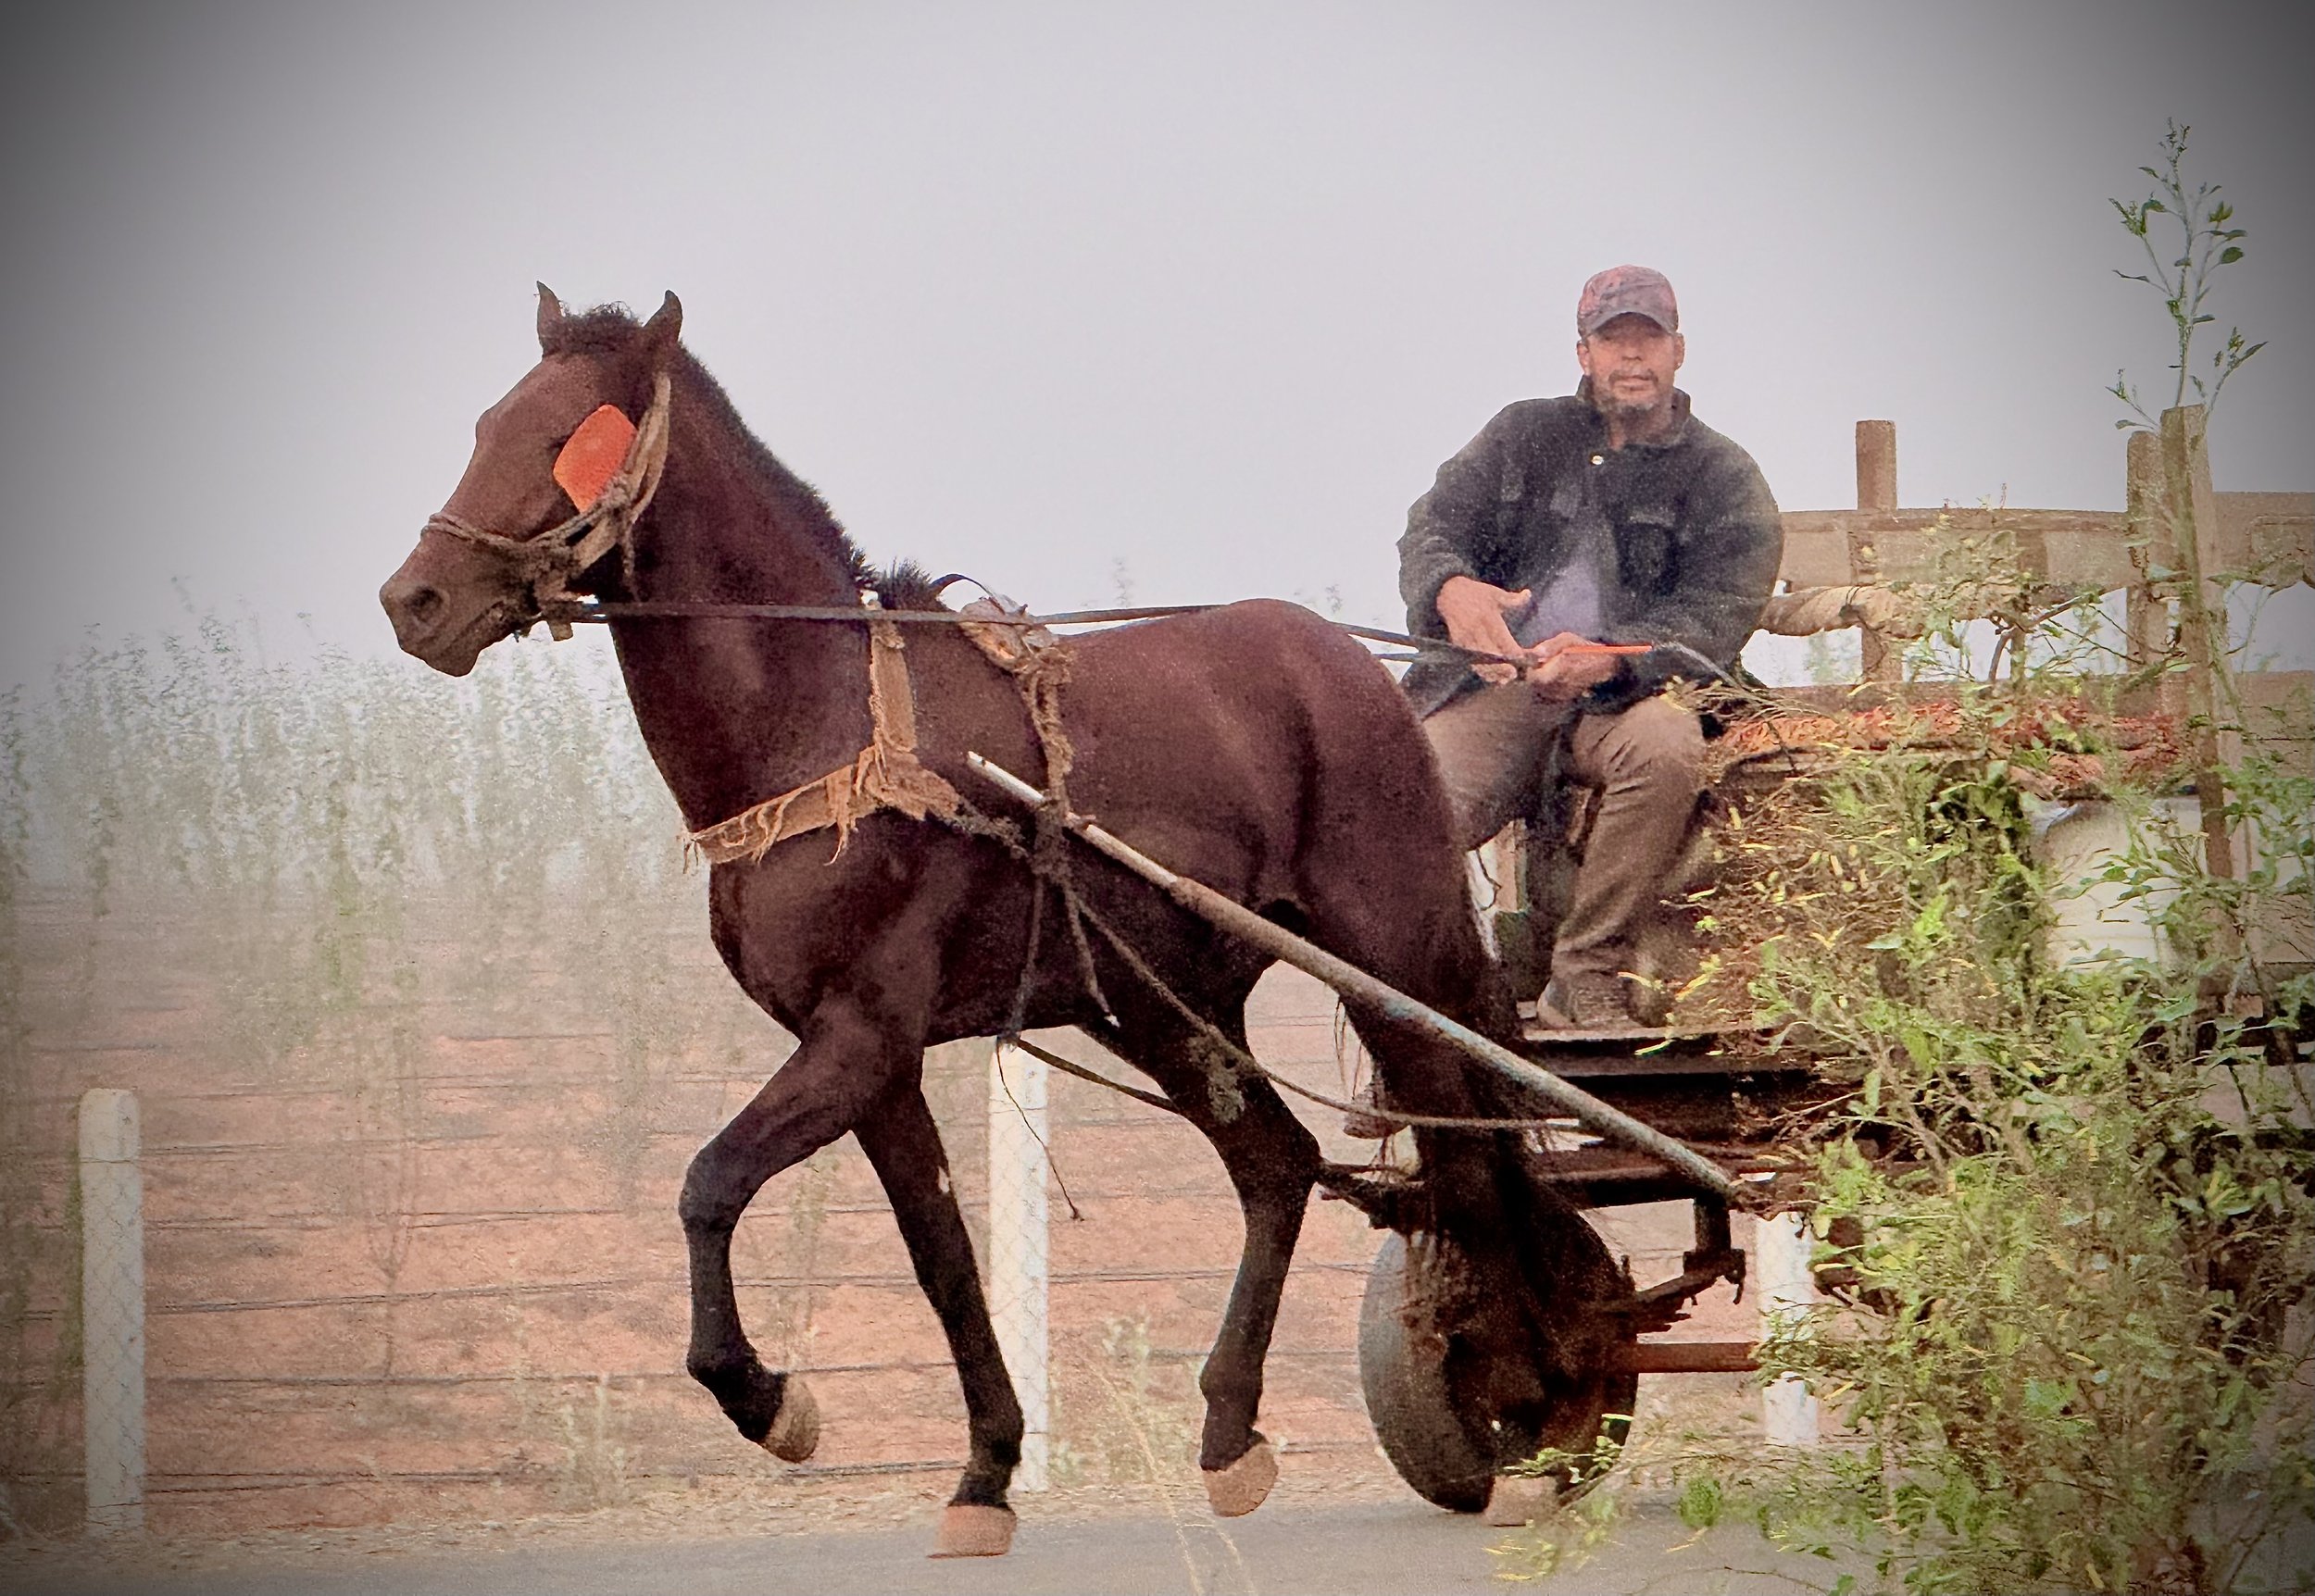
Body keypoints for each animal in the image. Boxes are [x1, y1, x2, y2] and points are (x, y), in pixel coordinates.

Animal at [379, 288, 1570, 1555]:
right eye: (487, 422)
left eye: (572, 434)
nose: (415, 601)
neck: (822, 721)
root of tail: (1348, 664)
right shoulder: (873, 1062)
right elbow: (940, 1256)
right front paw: (985, 1470)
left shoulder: (858, 1033)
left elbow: (708, 1183)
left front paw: (767, 1397)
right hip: (1156, 1001)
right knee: (1278, 1164)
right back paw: (1230, 1428)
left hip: (1387, 954)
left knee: (1469, 1162)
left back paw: (1528, 1404)